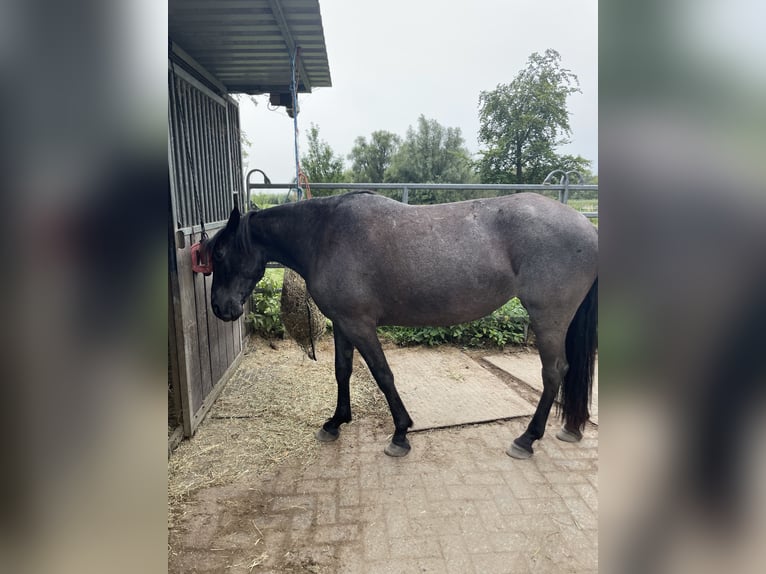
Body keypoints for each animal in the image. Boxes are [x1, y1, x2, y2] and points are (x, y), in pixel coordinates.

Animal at [206, 192, 600, 460]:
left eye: (221, 253)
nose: (220, 309)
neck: (324, 235)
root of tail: (587, 226)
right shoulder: (343, 324)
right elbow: (342, 371)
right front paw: (335, 422)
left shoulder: (360, 325)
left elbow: (383, 374)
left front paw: (400, 434)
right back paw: (570, 429)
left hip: (548, 317)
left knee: (553, 372)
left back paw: (527, 439)